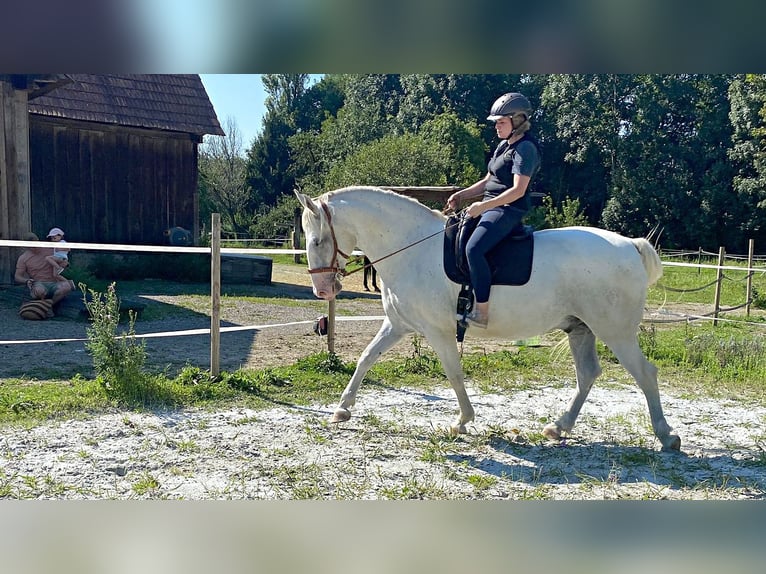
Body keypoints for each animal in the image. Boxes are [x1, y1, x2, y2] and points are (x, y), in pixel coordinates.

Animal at [296, 187, 684, 452]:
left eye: (316, 241)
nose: (323, 290)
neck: (412, 249)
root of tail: (629, 245)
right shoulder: (399, 325)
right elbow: (365, 359)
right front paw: (342, 410)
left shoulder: (437, 331)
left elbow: (453, 372)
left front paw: (462, 421)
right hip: (580, 329)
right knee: (588, 374)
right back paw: (559, 427)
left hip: (615, 331)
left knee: (644, 373)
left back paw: (667, 436)